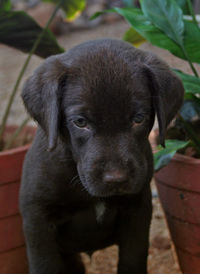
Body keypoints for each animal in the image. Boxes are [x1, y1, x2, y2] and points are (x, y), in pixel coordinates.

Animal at [19, 39, 184, 274]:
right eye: (80, 122)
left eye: (138, 119)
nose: (116, 179)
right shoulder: (38, 219)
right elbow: (45, 264)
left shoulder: (138, 211)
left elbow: (132, 260)